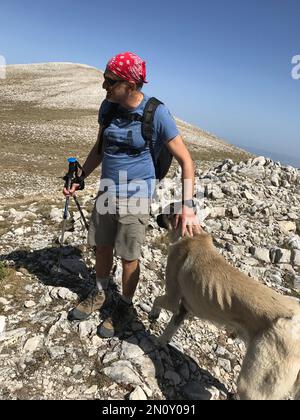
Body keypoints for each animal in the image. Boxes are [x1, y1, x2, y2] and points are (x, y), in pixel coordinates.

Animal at [151, 213, 300, 400]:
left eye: (167, 212)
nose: (156, 216)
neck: (192, 235)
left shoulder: (172, 298)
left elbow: (157, 300)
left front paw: (153, 317)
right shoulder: (183, 309)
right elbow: (170, 329)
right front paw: (160, 341)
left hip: (252, 384)